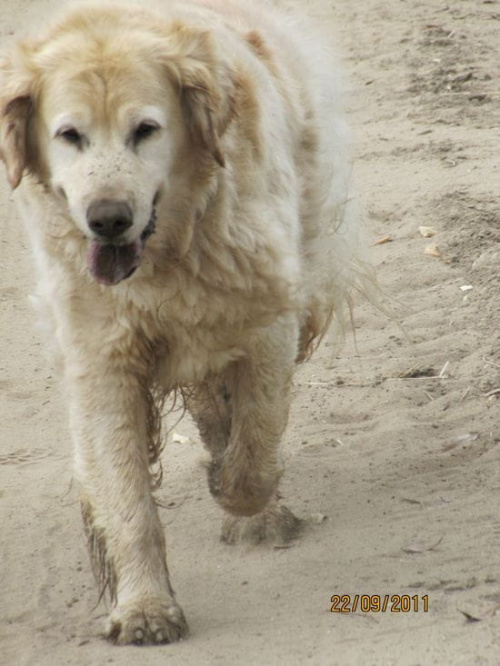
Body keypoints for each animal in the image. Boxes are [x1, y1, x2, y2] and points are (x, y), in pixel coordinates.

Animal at [0, 0, 376, 644]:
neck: (167, 258)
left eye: (145, 130)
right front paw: (144, 606)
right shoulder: (101, 358)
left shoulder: (267, 317)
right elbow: (126, 495)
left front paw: (245, 501)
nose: (107, 219)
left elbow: (255, 445)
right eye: (70, 135)